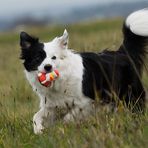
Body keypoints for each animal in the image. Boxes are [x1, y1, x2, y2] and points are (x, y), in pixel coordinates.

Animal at [20, 9, 148, 134]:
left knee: (137, 107)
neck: (60, 79)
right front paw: (39, 129)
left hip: (130, 94)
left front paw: (65, 126)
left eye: (54, 58)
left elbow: (69, 117)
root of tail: (122, 53)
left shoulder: (85, 102)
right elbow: (36, 116)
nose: (48, 67)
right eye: (37, 58)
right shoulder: (53, 105)